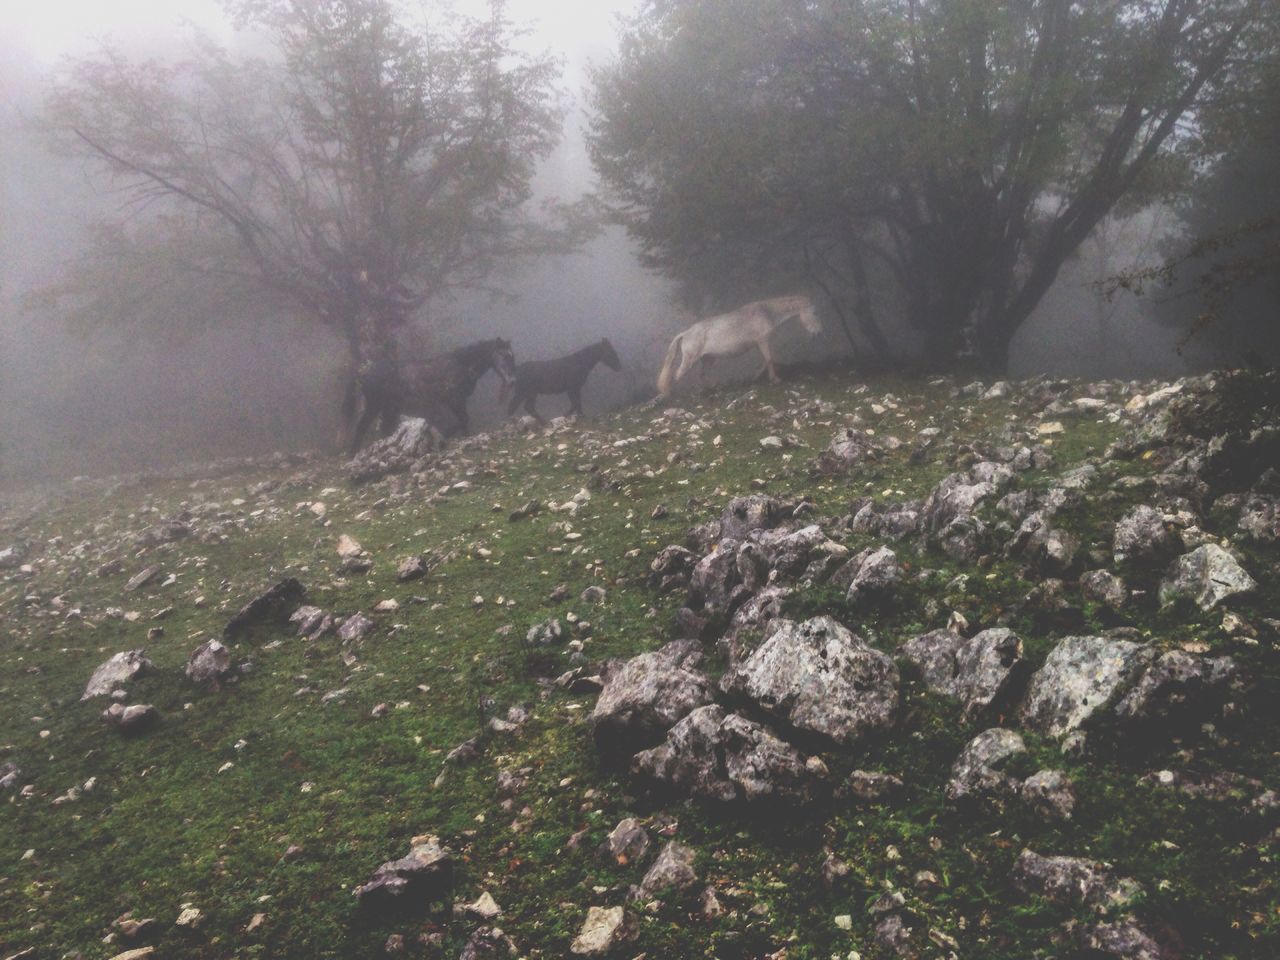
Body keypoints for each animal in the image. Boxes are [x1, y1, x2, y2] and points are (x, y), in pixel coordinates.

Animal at [348, 340, 517, 455]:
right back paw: (353, 454)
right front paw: (447, 436)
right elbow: (463, 420)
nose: (512, 381)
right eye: (503, 355)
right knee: (362, 427)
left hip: (388, 407)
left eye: (512, 357)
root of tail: (365, 374)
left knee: (384, 428)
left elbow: (463, 421)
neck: (460, 365)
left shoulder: (458, 401)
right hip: (376, 406)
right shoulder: (455, 401)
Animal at [655, 295, 824, 396]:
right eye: (815, 313)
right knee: (678, 375)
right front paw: (775, 379)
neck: (766, 312)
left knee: (703, 375)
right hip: (691, 359)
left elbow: (765, 360)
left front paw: (756, 377)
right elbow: (769, 359)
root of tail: (685, 333)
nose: (819, 333)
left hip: (708, 359)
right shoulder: (763, 340)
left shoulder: (759, 343)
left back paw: (715, 387)